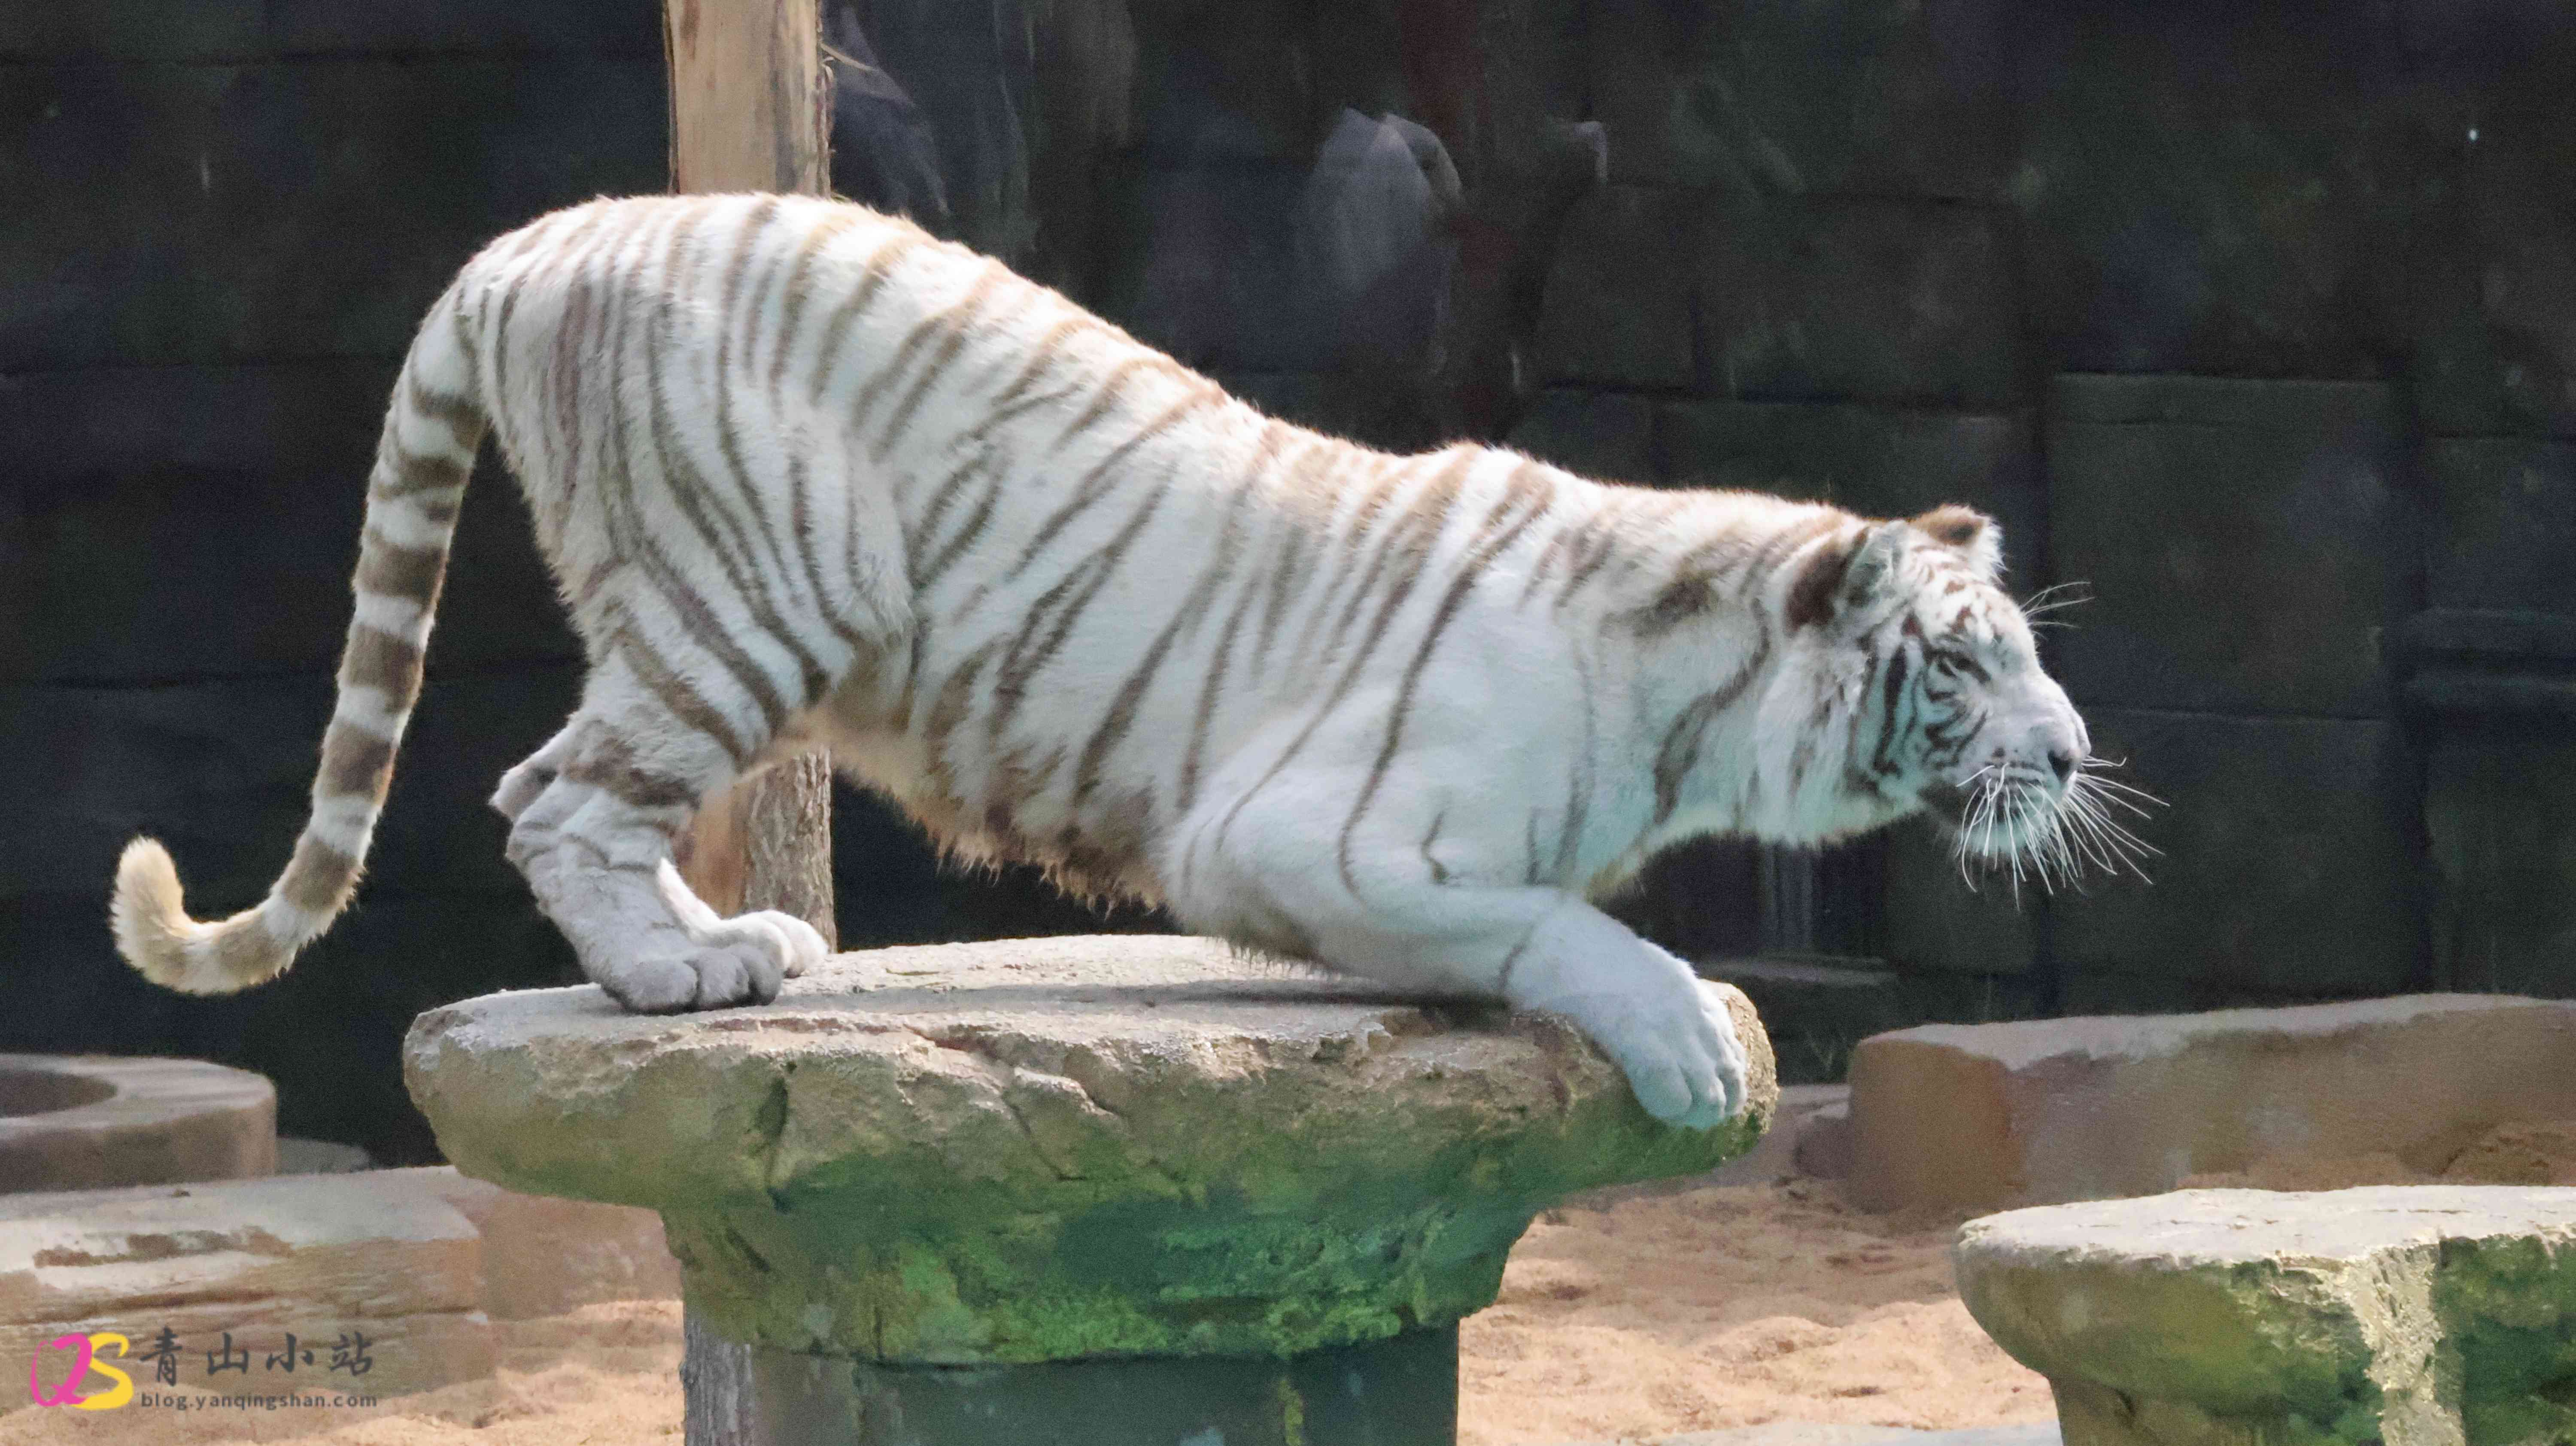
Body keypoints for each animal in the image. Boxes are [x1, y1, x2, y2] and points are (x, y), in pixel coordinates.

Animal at [110, 192, 2127, 1130]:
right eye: (1972, 665)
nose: (2072, 750)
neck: (1696, 711)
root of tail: (537, 238)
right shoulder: (1301, 836)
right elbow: (1559, 928)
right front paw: (1691, 1048)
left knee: (575, 791)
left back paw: (724, 949)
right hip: (758, 593)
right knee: (552, 799)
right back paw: (677, 979)